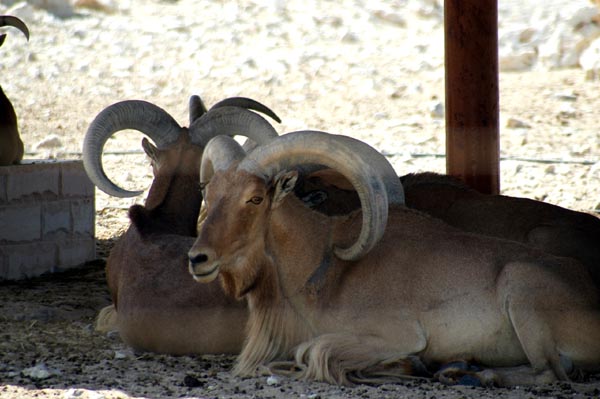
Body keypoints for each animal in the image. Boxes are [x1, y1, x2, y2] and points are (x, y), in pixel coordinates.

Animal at [188, 131, 600, 388]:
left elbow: (313, 351)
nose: (197, 257)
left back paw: (473, 374)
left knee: (551, 372)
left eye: (255, 199)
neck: (324, 263)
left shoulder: (395, 334)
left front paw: (406, 366)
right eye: (209, 192)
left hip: (521, 285)